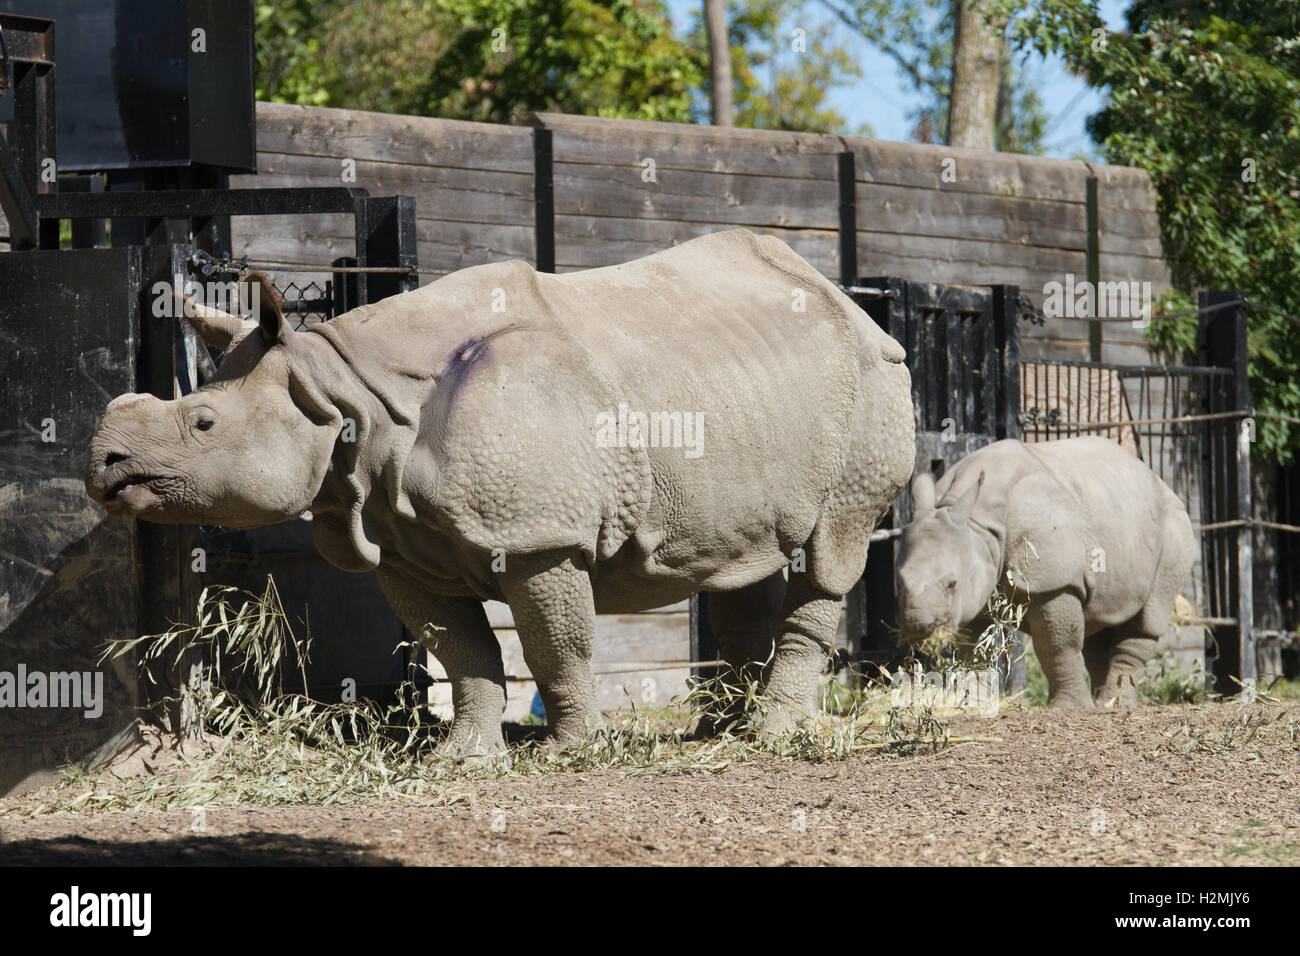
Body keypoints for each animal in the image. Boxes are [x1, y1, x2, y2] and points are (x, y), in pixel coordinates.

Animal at [85, 229, 915, 756]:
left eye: (203, 424)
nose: (105, 465)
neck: (338, 389)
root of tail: (845, 297)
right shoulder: (399, 542)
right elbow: (462, 650)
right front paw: (464, 758)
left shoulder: (540, 536)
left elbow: (554, 644)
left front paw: (569, 752)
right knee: (743, 557)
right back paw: (716, 733)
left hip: (874, 379)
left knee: (832, 544)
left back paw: (771, 735)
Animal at [895, 437, 1195, 708]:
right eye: (900, 582)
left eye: (951, 584)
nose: (918, 625)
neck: (979, 526)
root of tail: (1157, 478)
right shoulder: (974, 593)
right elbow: (972, 650)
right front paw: (974, 703)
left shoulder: (1054, 582)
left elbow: (1056, 644)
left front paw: (1068, 709)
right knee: (1100, 617)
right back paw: (1101, 703)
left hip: (1175, 526)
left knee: (1148, 617)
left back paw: (1114, 705)